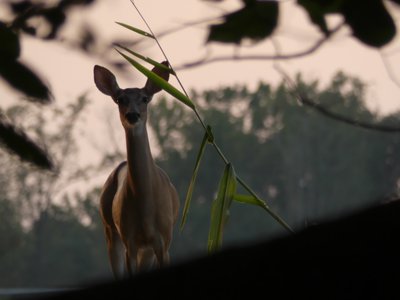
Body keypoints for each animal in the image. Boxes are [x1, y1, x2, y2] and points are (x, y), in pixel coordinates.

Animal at [93, 61, 179, 278]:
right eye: (120, 99)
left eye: (145, 98)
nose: (132, 115)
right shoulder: (129, 241)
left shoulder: (164, 240)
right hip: (110, 229)